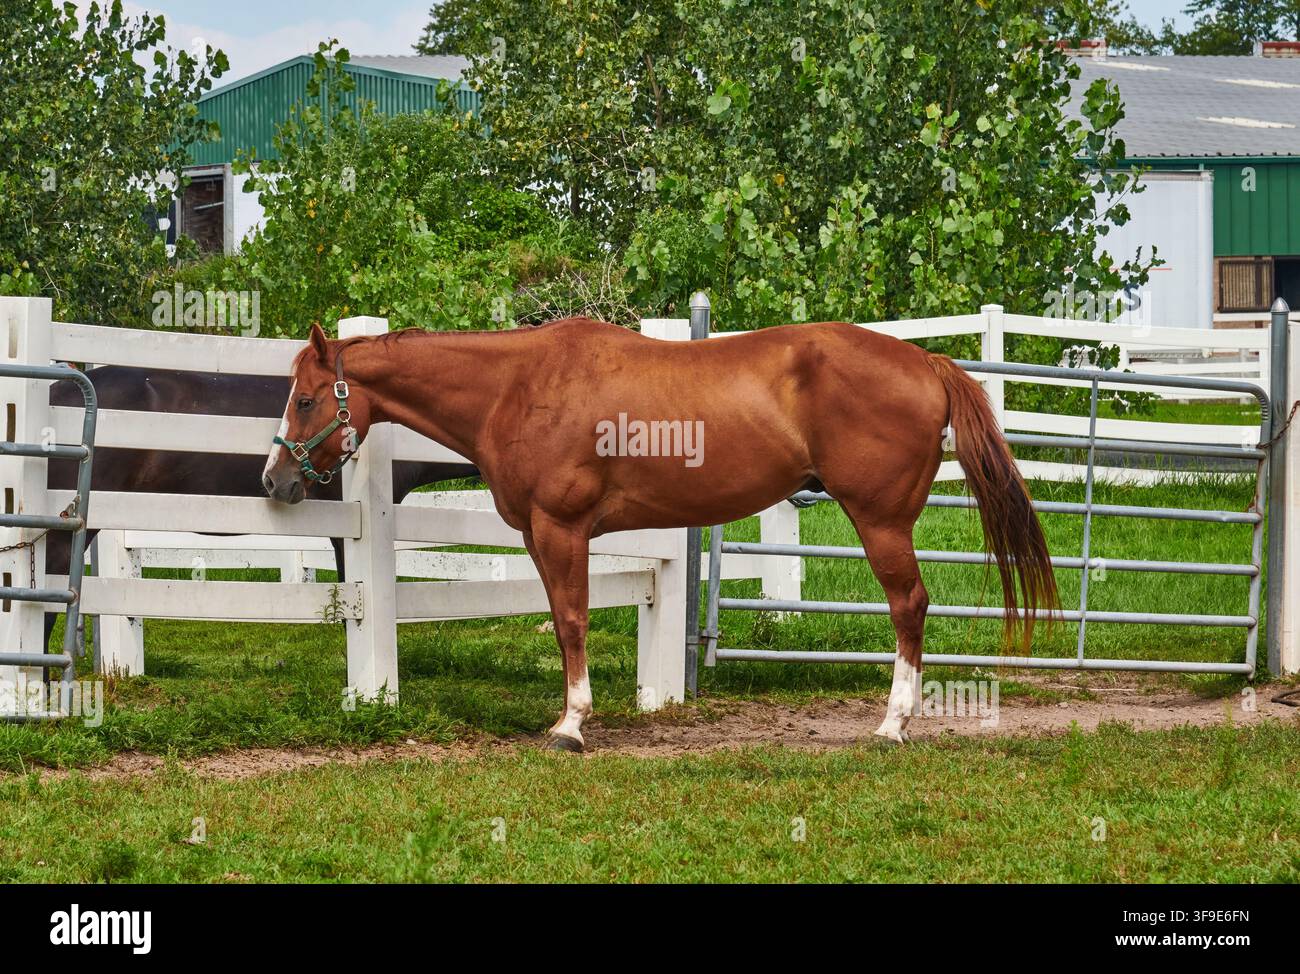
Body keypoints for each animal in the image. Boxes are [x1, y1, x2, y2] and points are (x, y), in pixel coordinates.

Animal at [264, 319, 1058, 750]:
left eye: (306, 400)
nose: (276, 481)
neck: (519, 386)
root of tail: (926, 361)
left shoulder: (564, 528)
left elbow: (574, 619)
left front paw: (572, 724)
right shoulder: (540, 536)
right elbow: (561, 617)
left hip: (882, 521)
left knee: (909, 606)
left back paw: (894, 725)